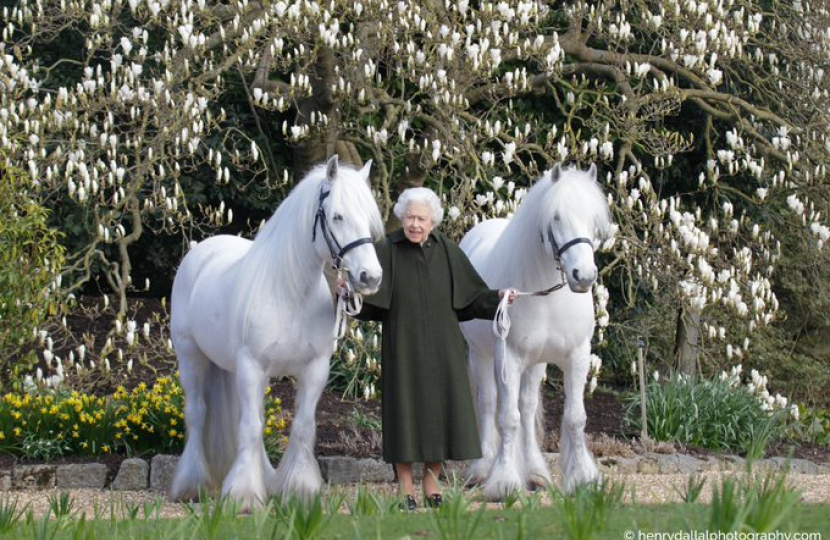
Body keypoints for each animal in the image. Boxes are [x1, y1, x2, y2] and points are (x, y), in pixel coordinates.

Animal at [172, 156, 386, 510]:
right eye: (338, 216)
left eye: (369, 219)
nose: (370, 277)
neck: (290, 293)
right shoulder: (251, 366)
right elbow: (249, 428)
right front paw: (244, 496)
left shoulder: (314, 369)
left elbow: (300, 427)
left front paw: (299, 489)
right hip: (191, 356)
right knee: (197, 414)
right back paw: (192, 484)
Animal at [462, 162, 616, 500]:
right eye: (556, 217)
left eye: (592, 218)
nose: (584, 276)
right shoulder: (508, 358)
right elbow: (508, 419)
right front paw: (504, 482)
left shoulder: (577, 356)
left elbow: (574, 417)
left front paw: (583, 478)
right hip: (481, 356)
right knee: (488, 403)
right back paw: (483, 468)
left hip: (536, 363)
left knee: (527, 404)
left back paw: (535, 472)